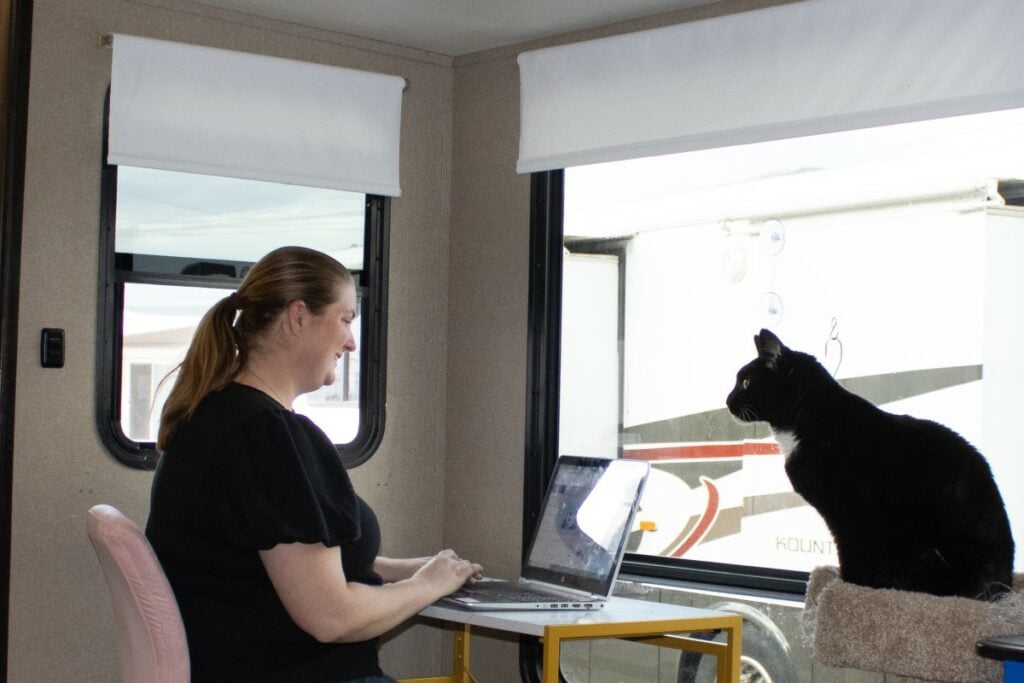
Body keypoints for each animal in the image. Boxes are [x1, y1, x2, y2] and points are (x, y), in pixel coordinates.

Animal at [724, 327, 1011, 602]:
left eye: (746, 381)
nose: (726, 400)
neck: (809, 418)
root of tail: (1006, 584)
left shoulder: (851, 512)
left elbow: (852, 553)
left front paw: (846, 587)